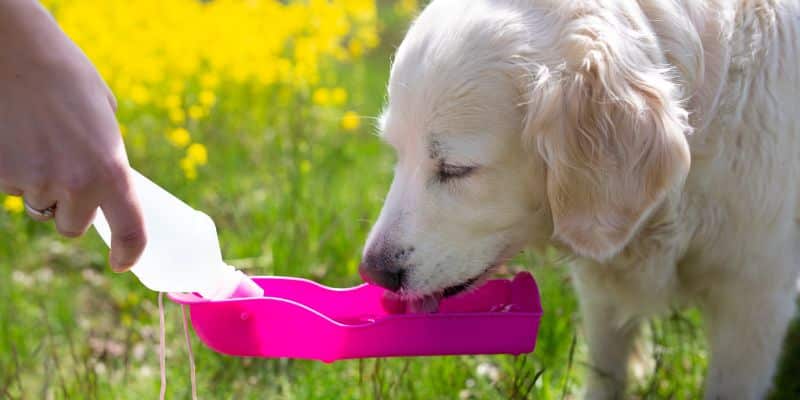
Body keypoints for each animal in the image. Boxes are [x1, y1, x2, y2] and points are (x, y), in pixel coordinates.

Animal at [360, 0, 800, 398]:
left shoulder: (753, 302)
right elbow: (607, 371)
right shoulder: (602, 293)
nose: (373, 272)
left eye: (456, 169)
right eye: (397, 153)